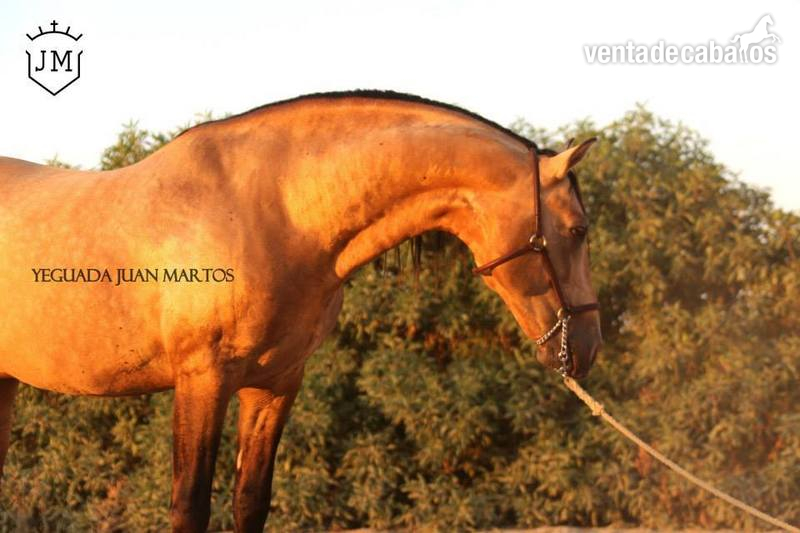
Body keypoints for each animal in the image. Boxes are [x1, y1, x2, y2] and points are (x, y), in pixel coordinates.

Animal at [0, 91, 602, 532]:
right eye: (578, 230)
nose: (588, 347)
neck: (272, 213)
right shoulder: (202, 381)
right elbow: (189, 506)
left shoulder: (276, 384)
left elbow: (249, 501)